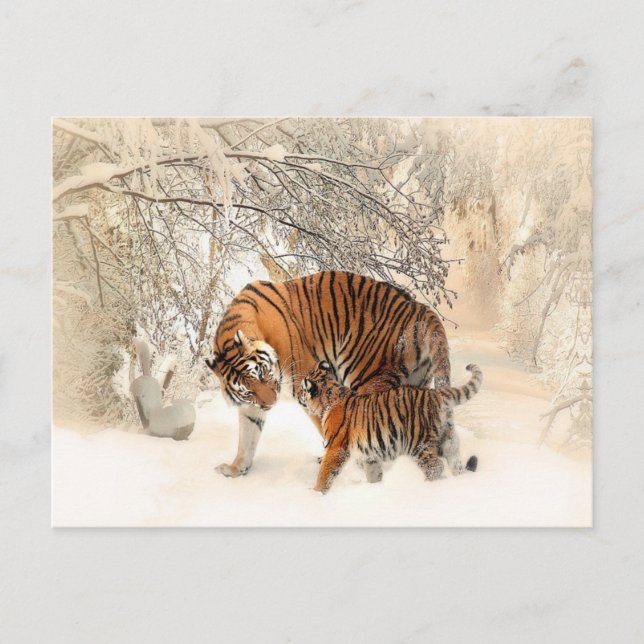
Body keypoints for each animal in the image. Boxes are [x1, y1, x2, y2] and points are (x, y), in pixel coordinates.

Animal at [205, 271, 461, 480]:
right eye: (248, 391)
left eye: (262, 374)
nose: (271, 403)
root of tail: (420, 309)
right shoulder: (251, 406)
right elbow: (247, 437)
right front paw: (236, 469)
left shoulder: (307, 383)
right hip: (415, 384)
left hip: (368, 378)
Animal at [297, 361, 482, 494]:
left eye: (301, 389)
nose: (297, 395)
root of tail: (435, 394)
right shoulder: (369, 454)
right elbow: (373, 473)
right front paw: (374, 488)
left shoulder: (336, 448)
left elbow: (325, 473)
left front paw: (316, 494)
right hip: (448, 440)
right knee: (455, 463)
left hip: (419, 443)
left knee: (435, 467)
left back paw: (426, 487)